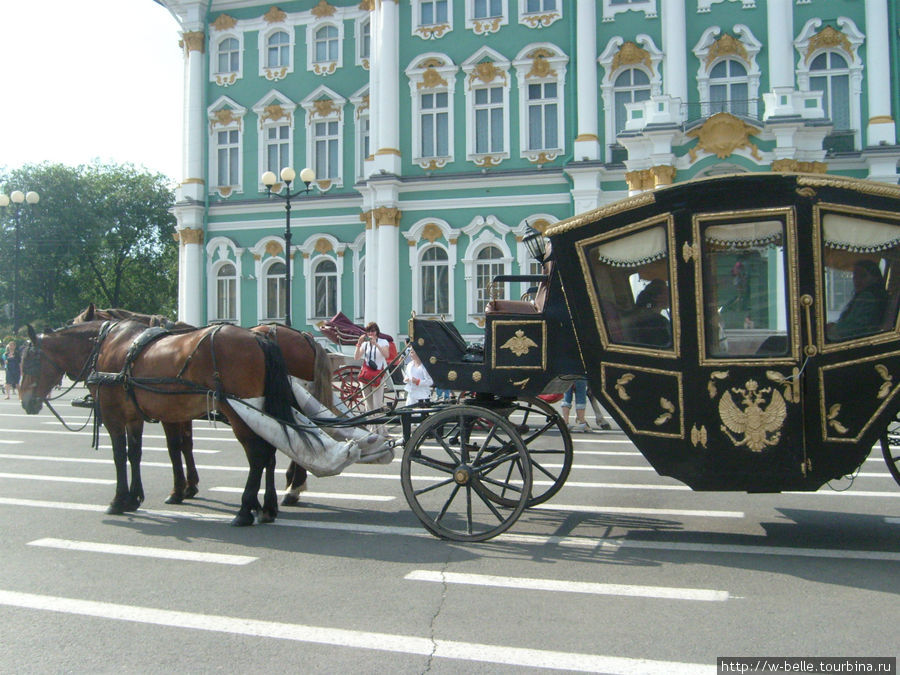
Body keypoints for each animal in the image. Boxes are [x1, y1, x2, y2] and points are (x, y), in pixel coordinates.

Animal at [21, 320, 294, 524]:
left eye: (30, 361)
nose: (25, 402)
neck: (109, 347)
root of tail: (258, 337)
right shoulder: (134, 417)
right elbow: (135, 454)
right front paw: (134, 498)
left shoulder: (113, 416)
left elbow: (120, 455)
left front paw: (118, 500)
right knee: (269, 453)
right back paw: (267, 506)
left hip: (239, 413)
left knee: (257, 455)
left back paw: (245, 509)